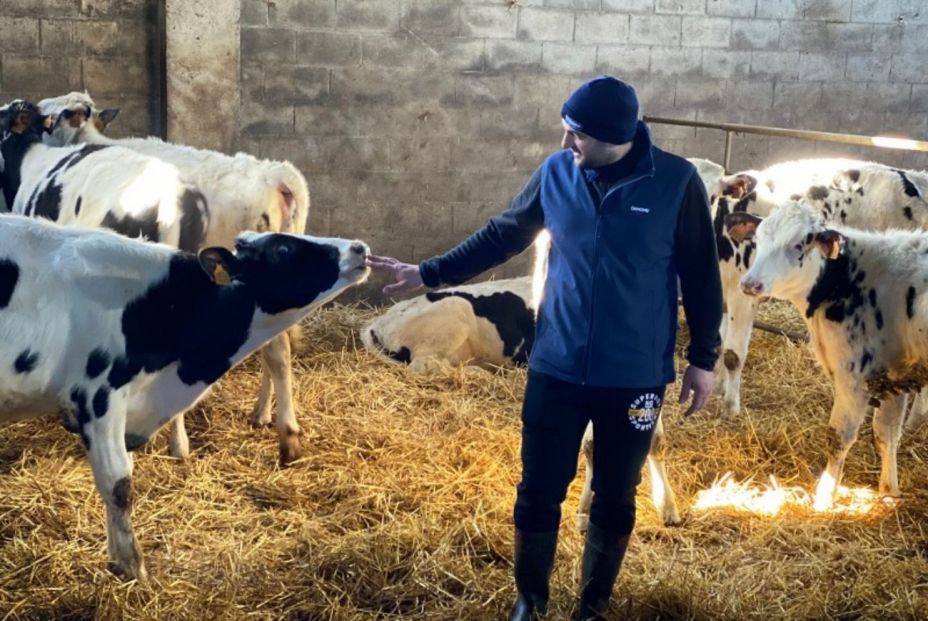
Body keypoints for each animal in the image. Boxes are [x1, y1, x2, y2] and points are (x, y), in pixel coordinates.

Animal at [0, 212, 370, 576]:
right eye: (282, 249)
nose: (360, 248)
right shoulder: (97, 399)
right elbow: (118, 485)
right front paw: (133, 566)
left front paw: (117, 560)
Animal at [728, 201, 928, 506]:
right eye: (758, 239)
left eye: (799, 244)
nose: (750, 283)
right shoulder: (894, 374)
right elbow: (887, 433)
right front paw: (888, 492)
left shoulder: (854, 377)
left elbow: (839, 437)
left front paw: (824, 497)